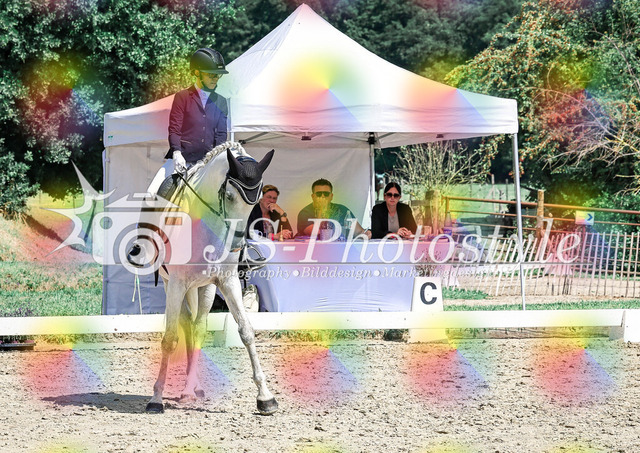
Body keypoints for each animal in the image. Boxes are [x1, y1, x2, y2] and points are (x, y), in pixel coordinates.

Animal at [144, 141, 278, 415]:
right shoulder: (176, 283)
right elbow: (169, 338)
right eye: (229, 196)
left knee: (197, 328)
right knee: (185, 324)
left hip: (204, 288)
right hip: (172, 284)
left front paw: (266, 398)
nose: (237, 245)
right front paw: (156, 399)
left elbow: (246, 331)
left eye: (257, 200)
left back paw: (191, 388)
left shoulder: (228, 282)